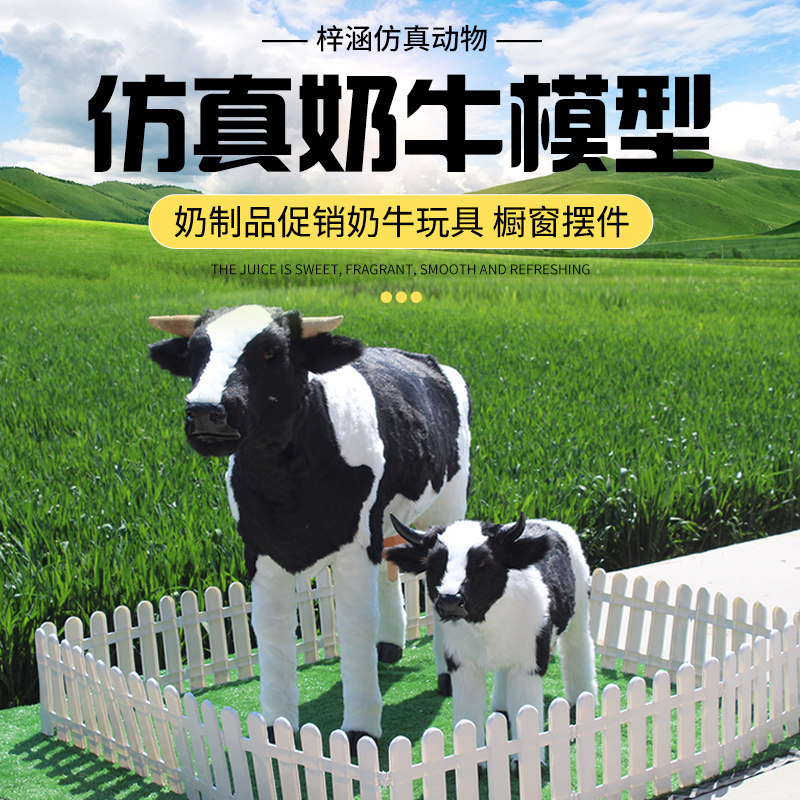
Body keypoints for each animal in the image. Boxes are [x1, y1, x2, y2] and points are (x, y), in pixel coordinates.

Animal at [147, 304, 471, 748]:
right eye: (196, 353)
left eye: (272, 352)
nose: (203, 412)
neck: (286, 481)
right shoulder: (260, 551)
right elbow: (271, 627)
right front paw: (274, 727)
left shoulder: (355, 547)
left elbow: (354, 622)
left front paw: (359, 728)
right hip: (385, 519)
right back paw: (389, 646)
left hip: (448, 505)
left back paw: (445, 676)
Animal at [385, 513, 597, 750]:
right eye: (432, 563)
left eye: (483, 562)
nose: (450, 601)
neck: (485, 626)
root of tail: (547, 522)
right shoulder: (461, 665)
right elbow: (468, 720)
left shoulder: (530, 663)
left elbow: (527, 720)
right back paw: (502, 709)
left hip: (579, 611)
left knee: (578, 647)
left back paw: (580, 702)